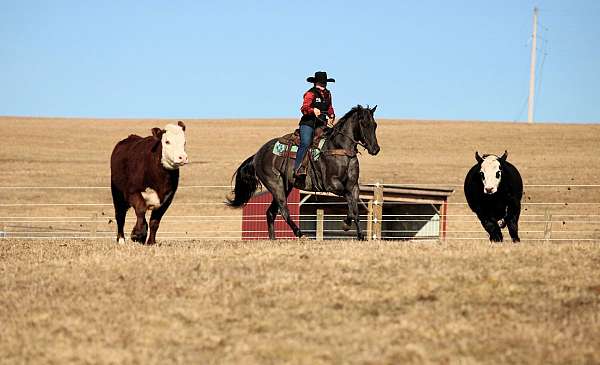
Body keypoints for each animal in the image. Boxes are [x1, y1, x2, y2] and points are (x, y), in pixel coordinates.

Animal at [225, 104, 380, 239]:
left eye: (375, 125)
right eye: (364, 124)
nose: (375, 149)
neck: (339, 148)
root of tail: (257, 154)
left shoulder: (354, 186)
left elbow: (355, 207)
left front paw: (360, 235)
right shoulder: (332, 185)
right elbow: (350, 202)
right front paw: (346, 224)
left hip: (285, 186)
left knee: (271, 212)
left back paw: (273, 239)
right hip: (275, 185)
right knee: (283, 210)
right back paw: (300, 233)